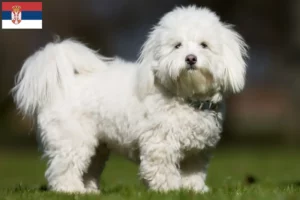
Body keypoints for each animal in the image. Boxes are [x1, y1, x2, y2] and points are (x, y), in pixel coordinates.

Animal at [12, 5, 246, 194]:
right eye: (177, 45)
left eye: (204, 45)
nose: (190, 59)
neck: (185, 97)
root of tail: (61, 84)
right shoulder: (160, 144)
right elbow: (162, 170)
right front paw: (170, 190)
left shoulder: (196, 152)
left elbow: (193, 173)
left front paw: (194, 190)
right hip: (72, 139)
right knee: (63, 168)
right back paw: (70, 190)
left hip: (98, 146)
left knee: (88, 168)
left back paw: (89, 191)